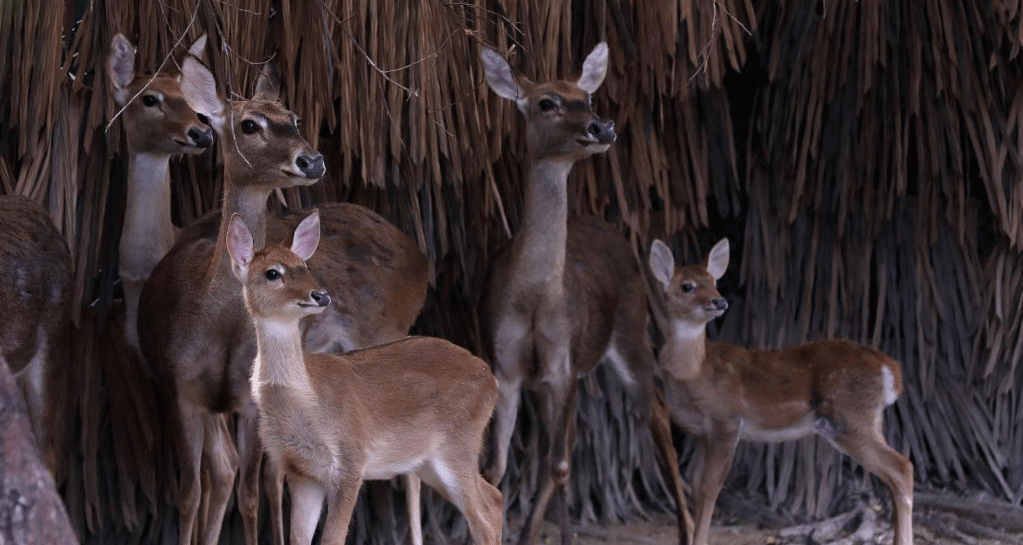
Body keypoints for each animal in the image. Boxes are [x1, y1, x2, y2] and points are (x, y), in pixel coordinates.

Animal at [136, 52, 427, 543]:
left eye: (294, 118)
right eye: (250, 124)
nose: (312, 160)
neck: (211, 323)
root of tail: (421, 261)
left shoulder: (249, 402)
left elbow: (248, 490)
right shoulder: (182, 390)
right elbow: (194, 490)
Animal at [229, 209, 507, 543]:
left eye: (306, 266)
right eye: (273, 273)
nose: (320, 295)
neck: (306, 397)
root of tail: (491, 379)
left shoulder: (351, 460)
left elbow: (332, 538)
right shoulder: (301, 471)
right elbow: (300, 538)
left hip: (458, 446)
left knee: (485, 512)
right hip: (428, 461)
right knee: (494, 499)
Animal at [478, 44, 695, 543]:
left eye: (588, 98)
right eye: (546, 102)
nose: (603, 126)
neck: (535, 299)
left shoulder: (565, 361)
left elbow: (562, 466)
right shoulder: (508, 364)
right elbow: (496, 468)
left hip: (632, 330)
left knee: (654, 412)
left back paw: (689, 528)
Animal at [650, 237, 916, 543]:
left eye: (714, 282)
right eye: (687, 286)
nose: (719, 300)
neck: (694, 371)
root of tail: (889, 368)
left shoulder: (727, 420)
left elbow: (709, 489)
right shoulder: (700, 433)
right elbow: (694, 484)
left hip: (850, 418)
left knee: (902, 468)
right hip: (862, 421)